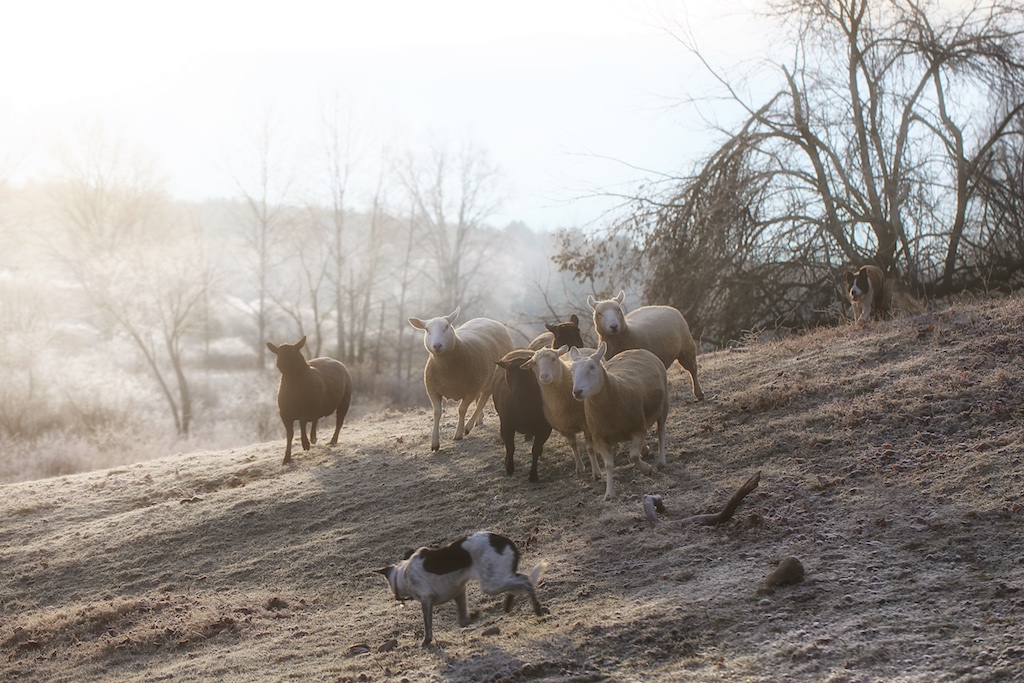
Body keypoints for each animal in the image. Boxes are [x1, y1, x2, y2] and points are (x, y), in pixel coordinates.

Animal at [407, 307, 516, 450]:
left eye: (446, 326)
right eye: (427, 330)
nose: (437, 346)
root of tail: (490, 320)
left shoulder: (471, 390)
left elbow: (462, 409)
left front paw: (458, 434)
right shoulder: (432, 390)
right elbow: (437, 412)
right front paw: (434, 443)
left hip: (490, 380)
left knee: (482, 401)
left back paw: (468, 426)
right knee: (480, 401)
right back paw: (478, 420)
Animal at [524, 348, 602, 481]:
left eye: (553, 358)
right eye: (534, 363)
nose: (544, 376)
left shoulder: (585, 424)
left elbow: (590, 449)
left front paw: (596, 472)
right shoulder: (565, 427)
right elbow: (573, 446)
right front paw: (579, 467)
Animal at [565, 344, 667, 499]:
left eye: (592, 367)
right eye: (571, 370)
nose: (577, 392)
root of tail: (636, 349)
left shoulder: (637, 429)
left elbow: (633, 456)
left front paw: (646, 469)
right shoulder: (599, 438)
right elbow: (609, 465)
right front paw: (609, 493)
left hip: (664, 405)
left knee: (661, 433)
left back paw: (661, 461)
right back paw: (645, 450)